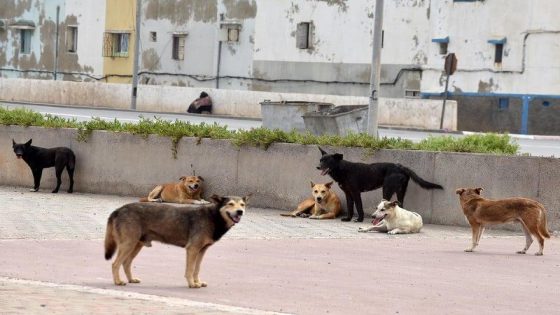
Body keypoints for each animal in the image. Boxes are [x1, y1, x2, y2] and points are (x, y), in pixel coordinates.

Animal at [104, 195, 248, 288]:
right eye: (230, 204)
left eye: (242, 205)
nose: (240, 212)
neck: (213, 216)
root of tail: (118, 210)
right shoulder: (192, 249)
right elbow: (190, 269)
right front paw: (192, 284)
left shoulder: (201, 251)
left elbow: (197, 269)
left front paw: (197, 282)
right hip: (128, 244)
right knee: (115, 264)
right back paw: (118, 282)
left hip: (136, 245)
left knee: (126, 263)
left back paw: (131, 280)